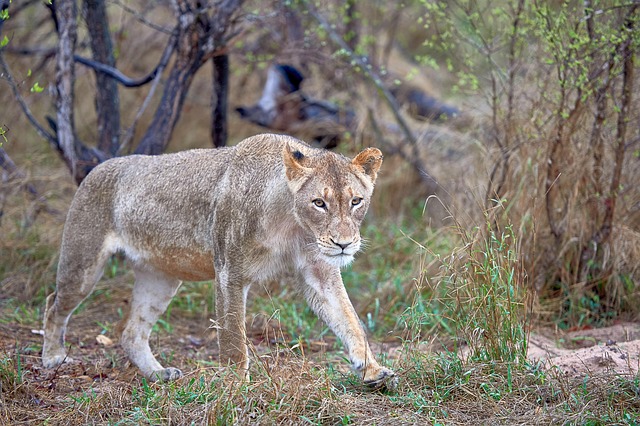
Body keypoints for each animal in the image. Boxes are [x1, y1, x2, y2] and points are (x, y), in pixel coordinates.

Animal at [42, 133, 396, 388]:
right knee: (53, 305)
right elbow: (232, 336)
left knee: (132, 332)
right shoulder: (229, 272)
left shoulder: (320, 271)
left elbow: (350, 321)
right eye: (319, 203)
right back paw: (54, 358)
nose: (343, 244)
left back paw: (158, 374)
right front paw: (237, 386)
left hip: (160, 278)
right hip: (83, 263)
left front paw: (372, 370)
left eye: (356, 201)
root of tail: (97, 168)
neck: (292, 224)